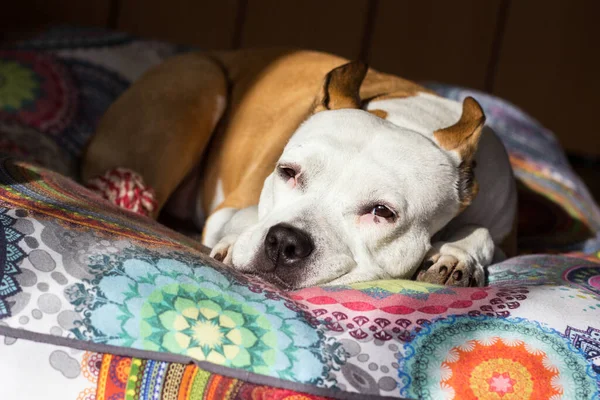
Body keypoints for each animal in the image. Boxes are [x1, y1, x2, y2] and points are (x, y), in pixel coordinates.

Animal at [82, 48, 516, 290]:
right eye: (287, 172)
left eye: (382, 212)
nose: (284, 242)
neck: (414, 119)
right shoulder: (229, 208)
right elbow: (240, 219)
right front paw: (232, 242)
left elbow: (481, 232)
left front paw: (456, 254)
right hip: (199, 82)